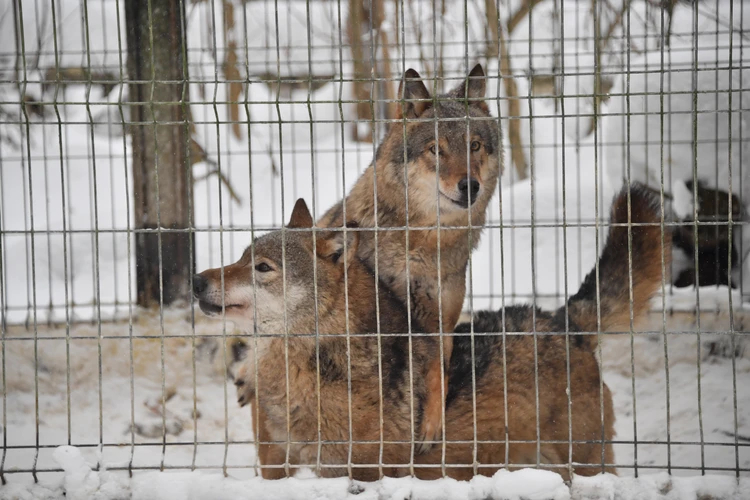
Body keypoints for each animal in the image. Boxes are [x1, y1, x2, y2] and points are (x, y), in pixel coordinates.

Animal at [316, 63, 500, 446]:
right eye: (436, 150)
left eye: (474, 146)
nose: (470, 186)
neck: (420, 249)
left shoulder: (440, 321)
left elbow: (437, 373)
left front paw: (431, 425)